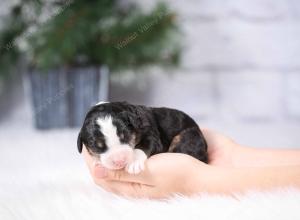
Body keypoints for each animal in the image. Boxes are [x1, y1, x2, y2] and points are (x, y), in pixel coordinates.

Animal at [77, 101, 207, 174]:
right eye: (97, 146)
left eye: (125, 136)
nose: (120, 161)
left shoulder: (152, 136)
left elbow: (143, 146)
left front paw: (133, 163)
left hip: (187, 137)